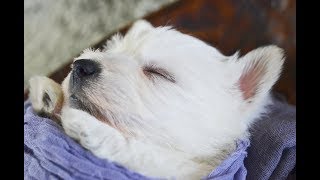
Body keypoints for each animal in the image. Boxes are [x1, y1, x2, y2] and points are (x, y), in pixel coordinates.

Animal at [28, 19, 284, 179]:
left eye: (159, 73)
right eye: (110, 51)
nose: (81, 66)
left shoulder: (190, 171)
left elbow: (149, 154)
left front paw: (89, 126)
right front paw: (47, 93)